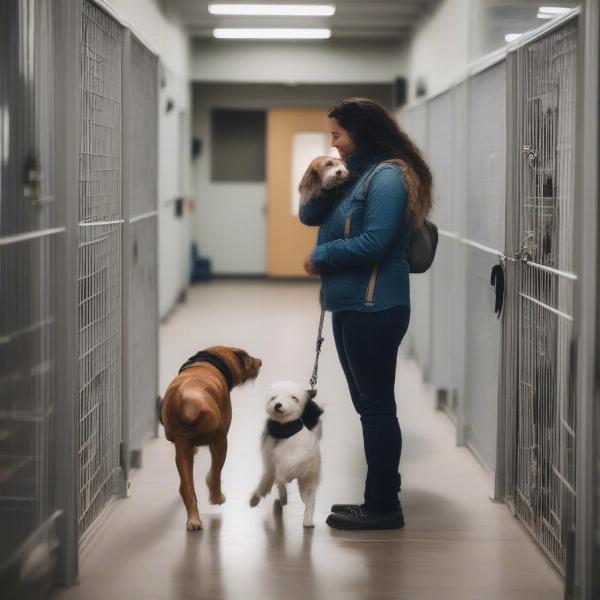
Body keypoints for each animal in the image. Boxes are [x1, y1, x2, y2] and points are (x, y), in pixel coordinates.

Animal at [161, 346, 262, 528]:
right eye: (247, 357)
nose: (260, 362)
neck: (205, 363)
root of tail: (187, 399)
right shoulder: (219, 440)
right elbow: (215, 473)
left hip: (183, 450)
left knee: (188, 490)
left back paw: (193, 519)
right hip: (220, 442)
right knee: (215, 473)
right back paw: (216, 497)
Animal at [248, 382, 324, 528]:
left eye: (294, 398)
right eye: (273, 397)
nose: (278, 404)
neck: (284, 430)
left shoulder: (292, 460)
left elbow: (280, 476)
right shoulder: (270, 461)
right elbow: (268, 478)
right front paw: (257, 496)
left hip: (309, 477)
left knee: (308, 499)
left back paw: (306, 518)